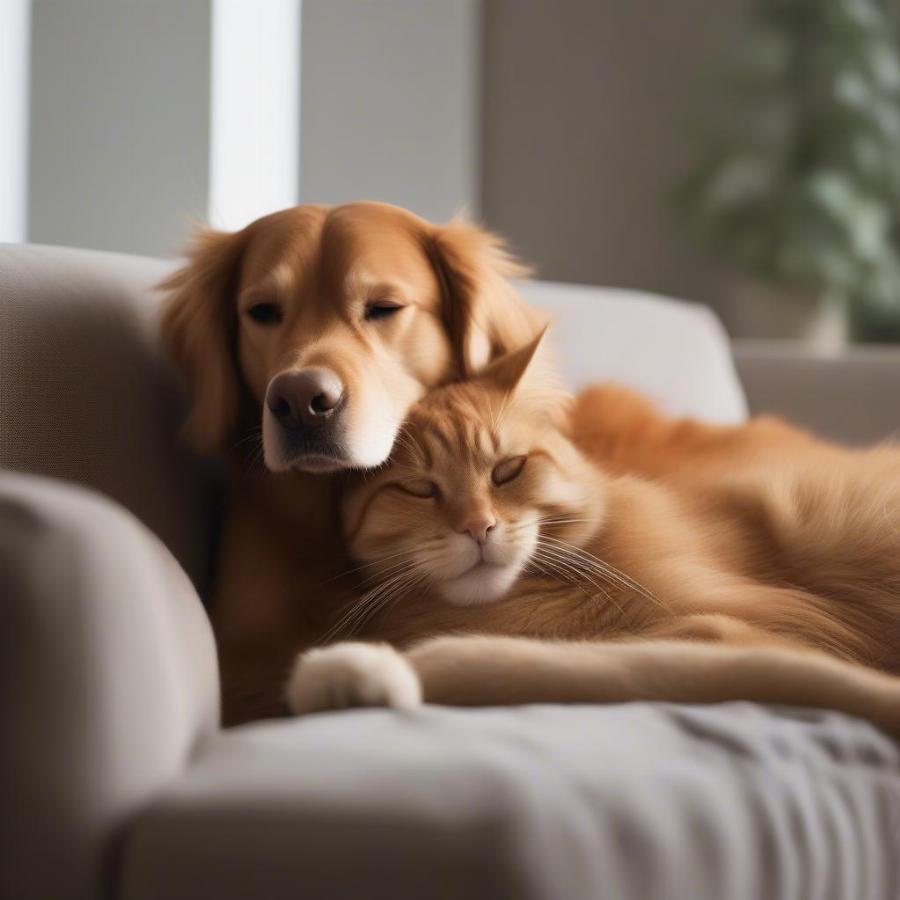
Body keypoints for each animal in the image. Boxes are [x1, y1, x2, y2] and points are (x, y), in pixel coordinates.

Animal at [284, 334, 900, 736]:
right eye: (419, 489)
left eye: (507, 471)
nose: (479, 527)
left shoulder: (742, 635)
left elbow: (498, 663)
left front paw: (352, 672)